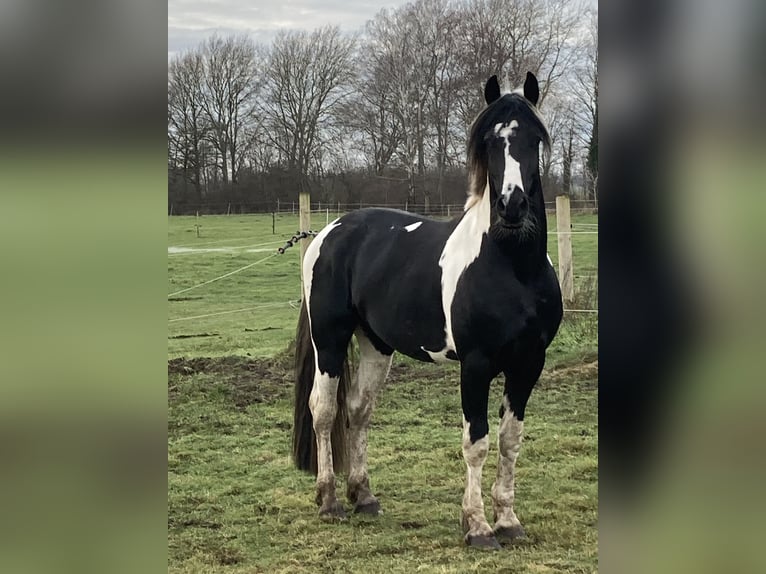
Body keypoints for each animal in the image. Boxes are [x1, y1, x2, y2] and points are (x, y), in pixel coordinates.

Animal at [294, 74, 564, 552]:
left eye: (534, 139)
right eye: (490, 142)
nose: (512, 207)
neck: (513, 269)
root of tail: (329, 232)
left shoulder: (529, 363)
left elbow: (510, 441)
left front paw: (509, 521)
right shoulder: (476, 364)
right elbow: (477, 442)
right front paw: (477, 527)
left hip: (375, 345)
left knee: (358, 409)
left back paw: (364, 496)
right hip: (328, 339)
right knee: (323, 410)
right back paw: (328, 500)